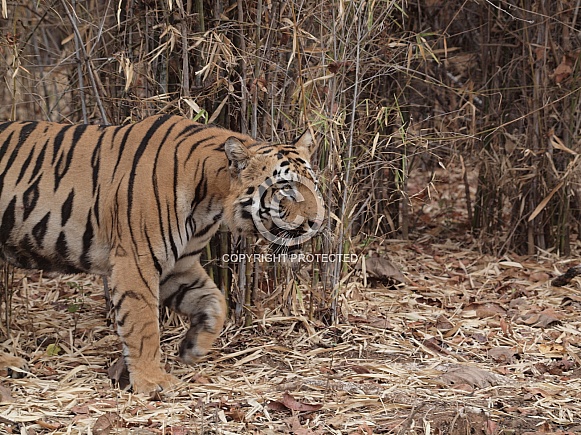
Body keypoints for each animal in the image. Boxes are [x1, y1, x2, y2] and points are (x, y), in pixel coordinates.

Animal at [0, 114, 324, 394]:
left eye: (314, 185)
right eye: (286, 189)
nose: (316, 222)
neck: (211, 198)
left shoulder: (179, 265)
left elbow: (215, 300)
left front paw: (194, 347)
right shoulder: (136, 261)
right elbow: (143, 325)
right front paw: (153, 381)